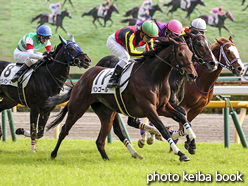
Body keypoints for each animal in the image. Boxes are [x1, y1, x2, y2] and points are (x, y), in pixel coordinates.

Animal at [46, 36, 198, 161]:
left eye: (191, 54)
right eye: (180, 54)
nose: (193, 75)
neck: (154, 76)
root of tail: (82, 78)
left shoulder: (163, 107)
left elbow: (182, 116)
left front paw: (192, 141)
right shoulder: (148, 108)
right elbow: (163, 129)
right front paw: (181, 153)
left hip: (106, 113)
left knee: (101, 140)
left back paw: (109, 158)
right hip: (77, 108)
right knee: (65, 129)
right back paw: (53, 154)